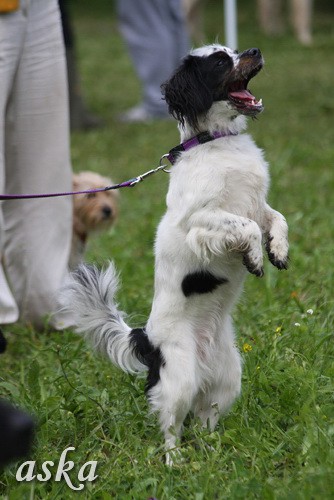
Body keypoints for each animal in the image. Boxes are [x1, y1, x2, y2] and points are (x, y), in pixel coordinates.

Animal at [58, 43, 288, 464]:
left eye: (234, 50)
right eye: (220, 61)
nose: (254, 49)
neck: (218, 141)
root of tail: (146, 342)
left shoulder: (257, 204)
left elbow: (276, 218)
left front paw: (277, 250)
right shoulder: (199, 221)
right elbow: (244, 228)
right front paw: (254, 257)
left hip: (227, 379)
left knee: (204, 420)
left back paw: (213, 455)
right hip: (179, 379)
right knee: (171, 429)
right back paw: (176, 464)